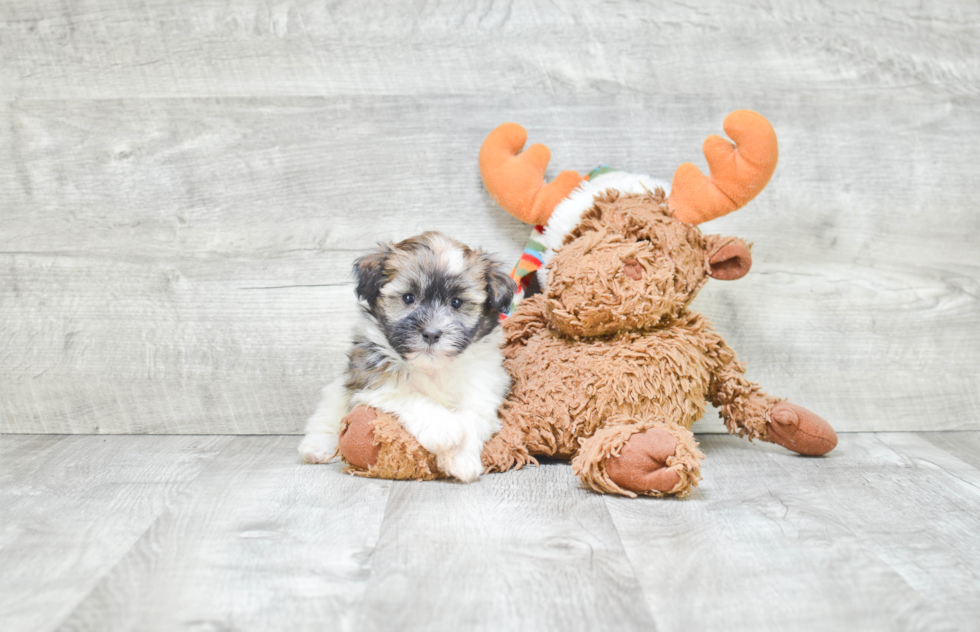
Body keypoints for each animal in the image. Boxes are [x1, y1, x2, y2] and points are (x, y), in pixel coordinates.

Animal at [296, 230, 512, 482]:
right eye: (408, 298)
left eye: (456, 302)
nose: (431, 333)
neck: (432, 367)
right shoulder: (372, 381)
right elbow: (411, 397)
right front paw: (445, 429)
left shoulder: (483, 386)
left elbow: (472, 416)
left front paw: (462, 459)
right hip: (335, 394)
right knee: (326, 418)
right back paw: (317, 447)